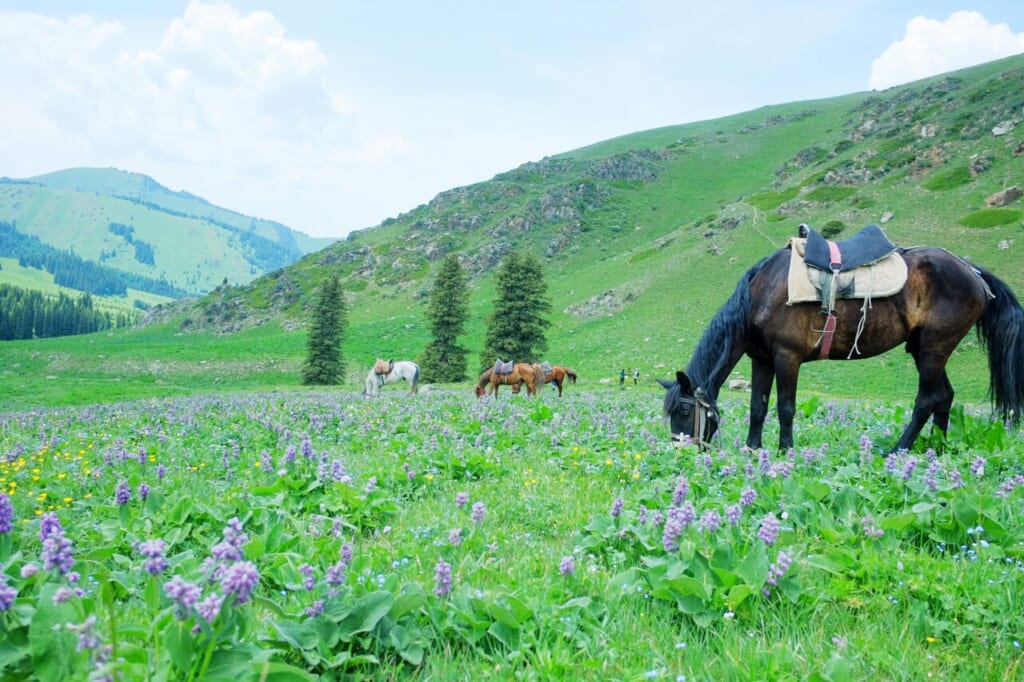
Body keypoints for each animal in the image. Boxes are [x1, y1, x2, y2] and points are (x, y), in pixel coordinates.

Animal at [659, 224, 1019, 450]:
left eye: (683, 412)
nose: (681, 452)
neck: (761, 293)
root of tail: (971, 270)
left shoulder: (787, 357)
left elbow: (785, 408)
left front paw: (785, 452)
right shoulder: (761, 360)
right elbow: (757, 408)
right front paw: (752, 450)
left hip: (934, 347)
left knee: (927, 400)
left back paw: (898, 450)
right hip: (923, 349)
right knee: (944, 397)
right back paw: (936, 449)